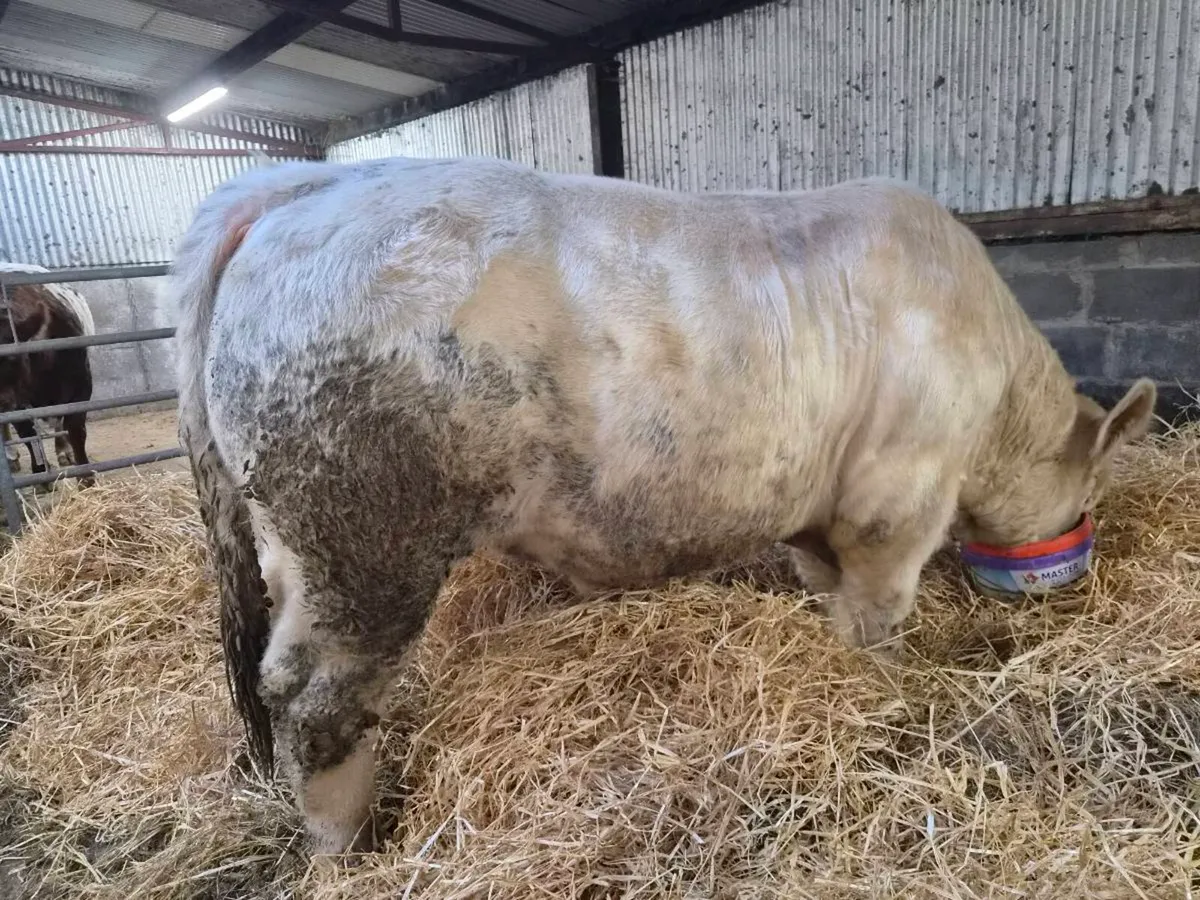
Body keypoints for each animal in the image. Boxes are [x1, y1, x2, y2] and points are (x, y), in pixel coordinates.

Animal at [0, 263, 95, 486]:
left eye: (10, 357)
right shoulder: (17, 402)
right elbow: (27, 433)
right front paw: (41, 473)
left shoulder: (81, 383)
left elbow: (75, 428)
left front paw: (85, 475)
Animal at [170, 157, 1157, 856]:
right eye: (1090, 489)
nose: (1076, 558)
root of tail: (297, 186)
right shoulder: (897, 499)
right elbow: (876, 617)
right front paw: (882, 694)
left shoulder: (819, 508)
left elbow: (826, 588)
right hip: (365, 540)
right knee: (312, 698)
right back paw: (350, 843)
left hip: (287, 540)